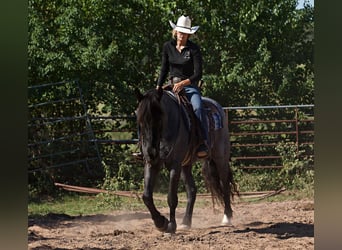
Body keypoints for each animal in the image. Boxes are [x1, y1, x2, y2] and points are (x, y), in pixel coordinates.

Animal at [135, 87, 236, 233]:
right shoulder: (151, 164)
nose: (151, 152)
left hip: (220, 158)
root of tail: (218, 107)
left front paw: (171, 225)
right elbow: (147, 196)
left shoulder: (175, 165)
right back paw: (186, 222)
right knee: (192, 190)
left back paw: (227, 218)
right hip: (186, 164)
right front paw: (160, 222)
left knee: (224, 185)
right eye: (141, 121)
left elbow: (171, 197)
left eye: (159, 119)